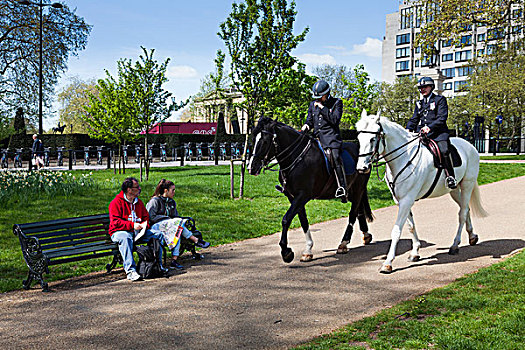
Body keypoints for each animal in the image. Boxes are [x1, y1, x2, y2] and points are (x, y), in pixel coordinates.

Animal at [247, 117, 372, 262]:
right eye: (253, 139)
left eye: (265, 141)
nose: (251, 167)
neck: (297, 158)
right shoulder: (293, 197)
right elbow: (303, 221)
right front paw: (308, 250)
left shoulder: (303, 195)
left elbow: (286, 219)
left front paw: (286, 252)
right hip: (352, 191)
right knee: (359, 210)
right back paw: (366, 235)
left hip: (358, 189)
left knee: (353, 214)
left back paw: (344, 243)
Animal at [356, 110, 488, 274]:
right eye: (359, 138)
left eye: (373, 138)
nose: (361, 168)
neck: (404, 157)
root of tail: (470, 146)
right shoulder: (401, 201)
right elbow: (410, 226)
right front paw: (415, 252)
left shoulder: (407, 200)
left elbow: (396, 231)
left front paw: (388, 263)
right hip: (454, 190)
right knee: (466, 209)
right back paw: (472, 236)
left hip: (467, 185)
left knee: (462, 213)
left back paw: (455, 245)